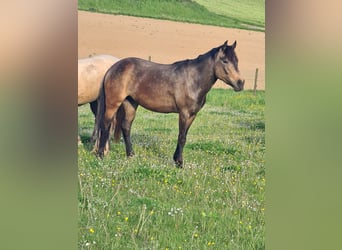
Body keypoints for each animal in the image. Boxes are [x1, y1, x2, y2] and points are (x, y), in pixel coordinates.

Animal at [92, 40, 244, 166]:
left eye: (237, 60)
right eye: (225, 61)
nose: (240, 83)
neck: (193, 80)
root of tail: (113, 67)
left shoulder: (192, 115)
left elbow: (184, 137)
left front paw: (177, 160)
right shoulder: (184, 113)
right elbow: (181, 137)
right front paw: (179, 163)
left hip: (131, 104)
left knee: (126, 127)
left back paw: (131, 155)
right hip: (113, 104)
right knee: (105, 125)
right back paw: (100, 155)